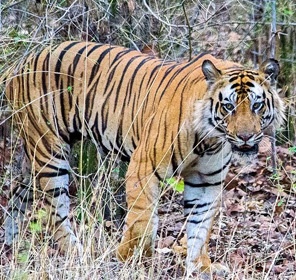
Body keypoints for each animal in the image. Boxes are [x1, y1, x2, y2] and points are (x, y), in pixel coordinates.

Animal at [2, 41, 284, 274]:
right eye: (228, 106)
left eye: (257, 105)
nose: (246, 137)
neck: (211, 140)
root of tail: (20, 63)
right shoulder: (144, 167)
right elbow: (143, 220)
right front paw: (129, 258)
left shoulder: (207, 180)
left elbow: (200, 225)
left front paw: (200, 266)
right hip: (50, 151)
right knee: (54, 212)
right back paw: (78, 254)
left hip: (34, 157)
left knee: (17, 193)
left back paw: (10, 243)